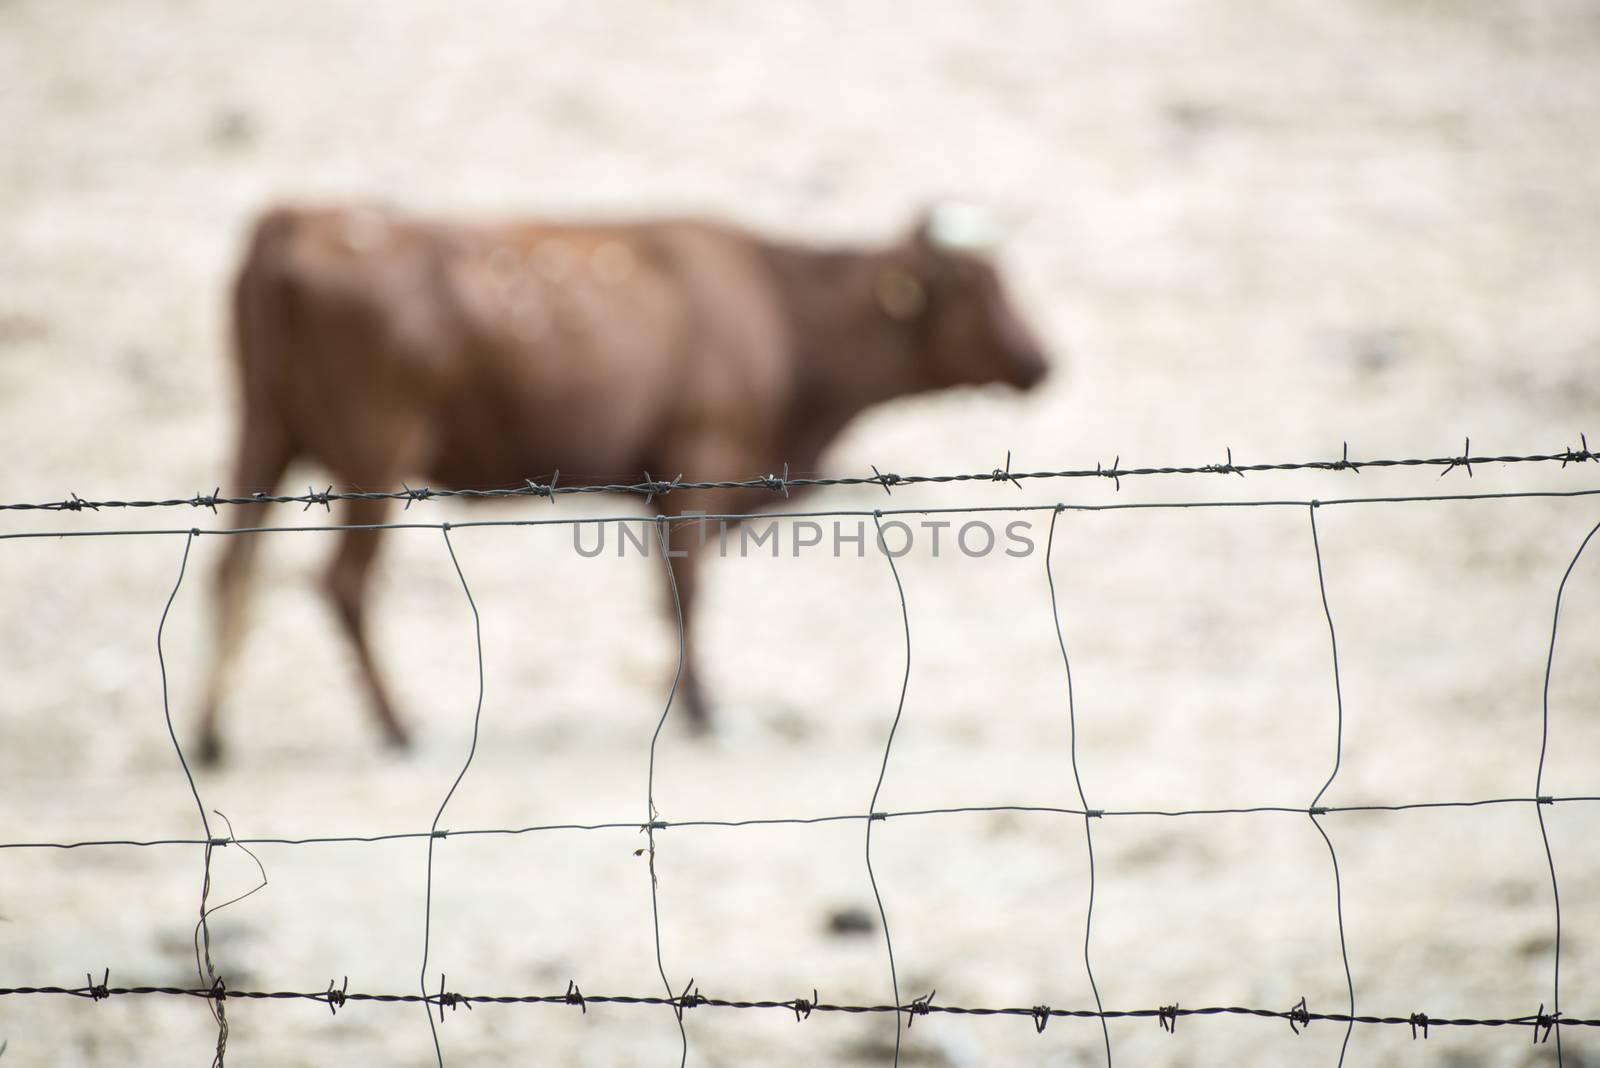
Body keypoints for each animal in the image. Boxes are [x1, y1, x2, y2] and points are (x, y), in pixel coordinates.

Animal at [193, 204, 1049, 764]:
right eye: (976, 284)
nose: (1042, 359)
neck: (778, 306)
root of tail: (298, 217)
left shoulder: (659, 488)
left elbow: (669, 594)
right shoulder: (702, 465)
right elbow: (688, 592)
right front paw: (705, 713)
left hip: (263, 433)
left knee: (233, 565)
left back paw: (211, 734)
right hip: (376, 451)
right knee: (340, 582)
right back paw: (398, 728)